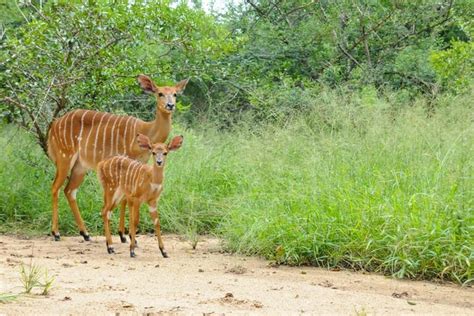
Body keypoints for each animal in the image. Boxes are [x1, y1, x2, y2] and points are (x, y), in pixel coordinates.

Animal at [46, 75, 189, 241]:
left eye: (175, 94)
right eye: (160, 93)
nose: (170, 105)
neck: (145, 131)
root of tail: (54, 125)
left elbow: (126, 198)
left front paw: (124, 234)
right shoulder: (127, 161)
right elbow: (126, 198)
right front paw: (124, 235)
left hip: (80, 166)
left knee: (69, 191)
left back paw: (86, 234)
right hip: (65, 157)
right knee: (55, 187)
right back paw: (56, 233)